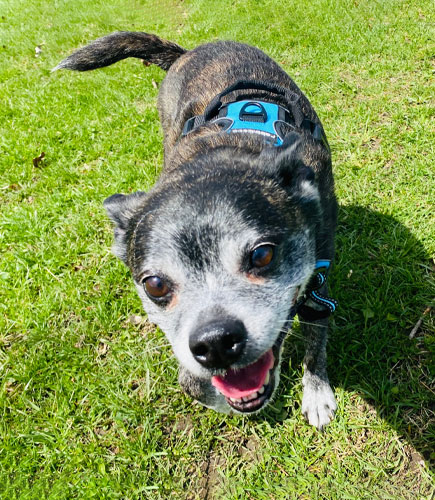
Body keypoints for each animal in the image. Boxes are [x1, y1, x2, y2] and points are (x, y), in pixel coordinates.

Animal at [55, 32, 340, 430]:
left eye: (262, 255)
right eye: (155, 285)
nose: (215, 341)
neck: (227, 154)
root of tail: (191, 50)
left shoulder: (318, 282)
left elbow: (316, 338)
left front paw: (316, 393)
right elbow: (190, 381)